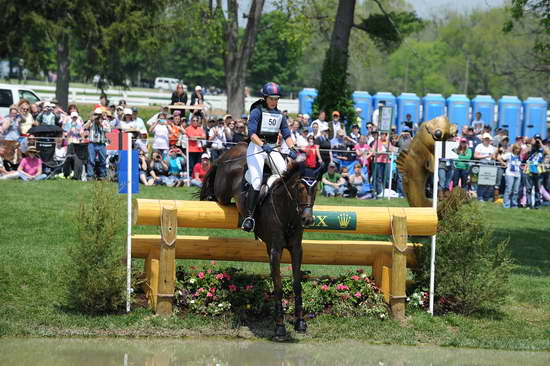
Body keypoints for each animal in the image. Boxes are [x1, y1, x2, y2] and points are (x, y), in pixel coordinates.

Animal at [199, 142, 322, 338]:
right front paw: (279, 326)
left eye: (315, 189)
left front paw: (300, 323)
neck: (287, 212)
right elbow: (278, 287)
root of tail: (234, 150)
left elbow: (297, 284)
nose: (307, 219)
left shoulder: (296, 249)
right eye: (299, 188)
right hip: (222, 191)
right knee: (217, 193)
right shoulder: (274, 250)